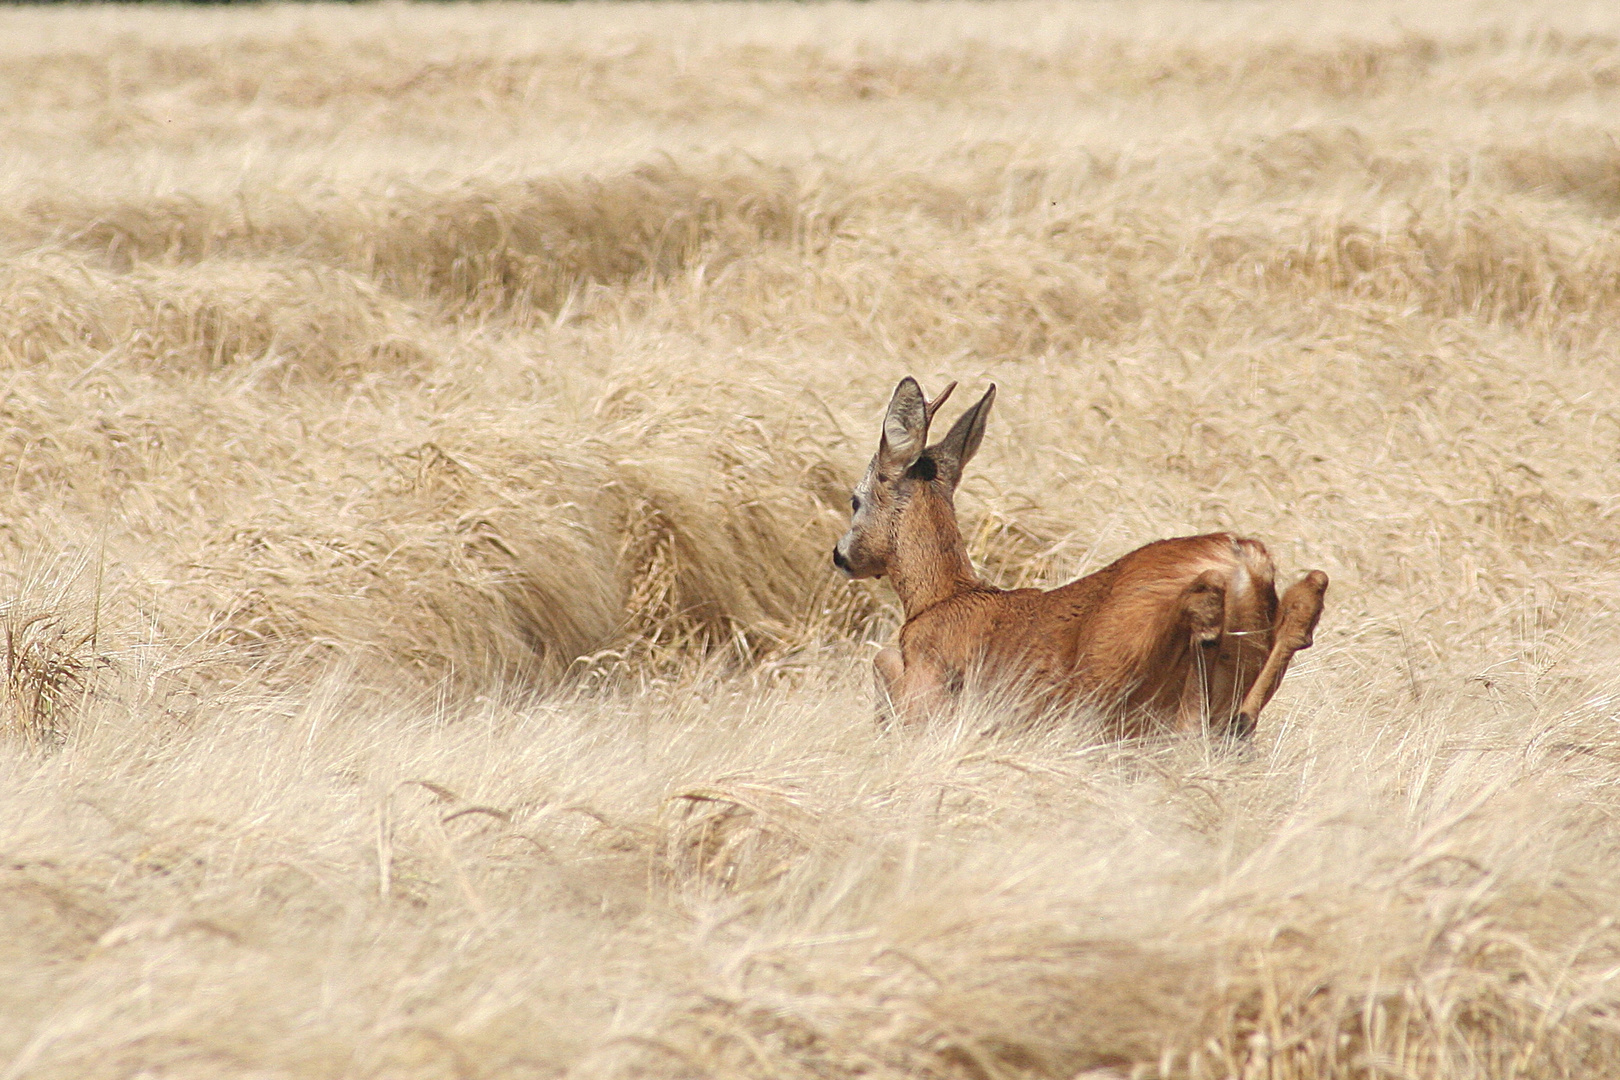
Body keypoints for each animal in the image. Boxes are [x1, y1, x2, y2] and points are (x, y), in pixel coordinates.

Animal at [835, 375, 1328, 738]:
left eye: (855, 500)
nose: (841, 556)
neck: (940, 598)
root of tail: (1241, 559)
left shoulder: (920, 693)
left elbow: (884, 670)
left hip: (1108, 668)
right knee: (1306, 597)